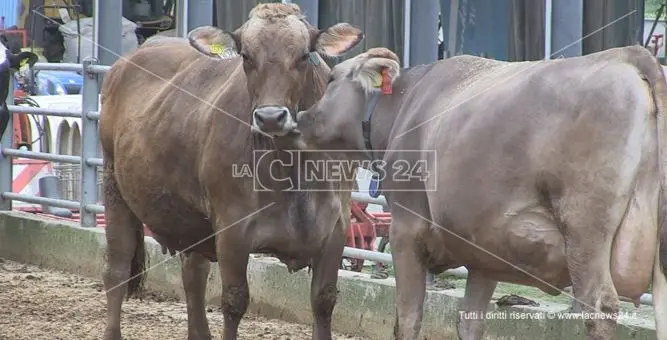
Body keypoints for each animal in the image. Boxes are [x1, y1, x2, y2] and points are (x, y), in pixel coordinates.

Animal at [96, 3, 362, 340]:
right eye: (246, 56)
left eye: (304, 55)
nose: (270, 117)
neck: (292, 169)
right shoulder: (232, 230)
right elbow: (235, 301)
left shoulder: (335, 229)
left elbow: (324, 300)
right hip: (113, 185)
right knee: (116, 269)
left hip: (190, 219)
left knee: (193, 276)